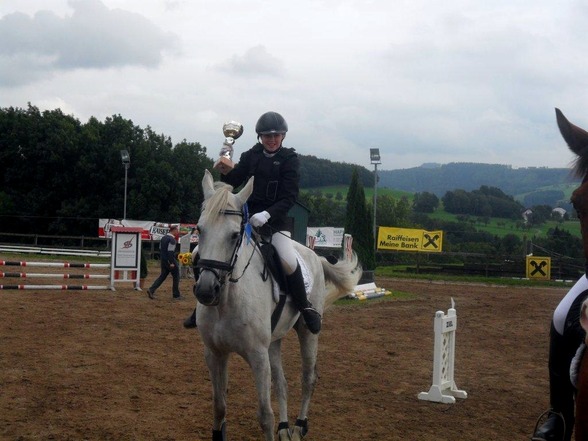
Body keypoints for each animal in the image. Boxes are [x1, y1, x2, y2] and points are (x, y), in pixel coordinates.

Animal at [194, 169, 358, 440]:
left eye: (234, 235)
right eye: (199, 229)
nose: (206, 290)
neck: (226, 302)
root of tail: (315, 255)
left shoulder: (257, 355)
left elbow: (264, 415)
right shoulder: (214, 353)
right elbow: (219, 407)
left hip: (307, 332)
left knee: (308, 378)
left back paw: (299, 426)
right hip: (274, 340)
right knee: (282, 384)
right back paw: (284, 428)